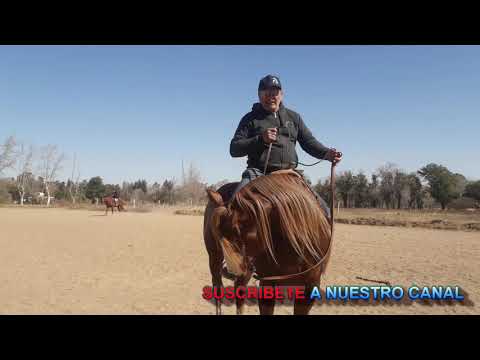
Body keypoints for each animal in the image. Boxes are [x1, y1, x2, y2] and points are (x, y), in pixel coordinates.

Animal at [203, 172, 334, 316]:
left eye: (238, 230)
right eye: (219, 234)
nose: (229, 271)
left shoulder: (310, 286)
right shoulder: (268, 281)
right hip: (217, 260)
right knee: (218, 288)